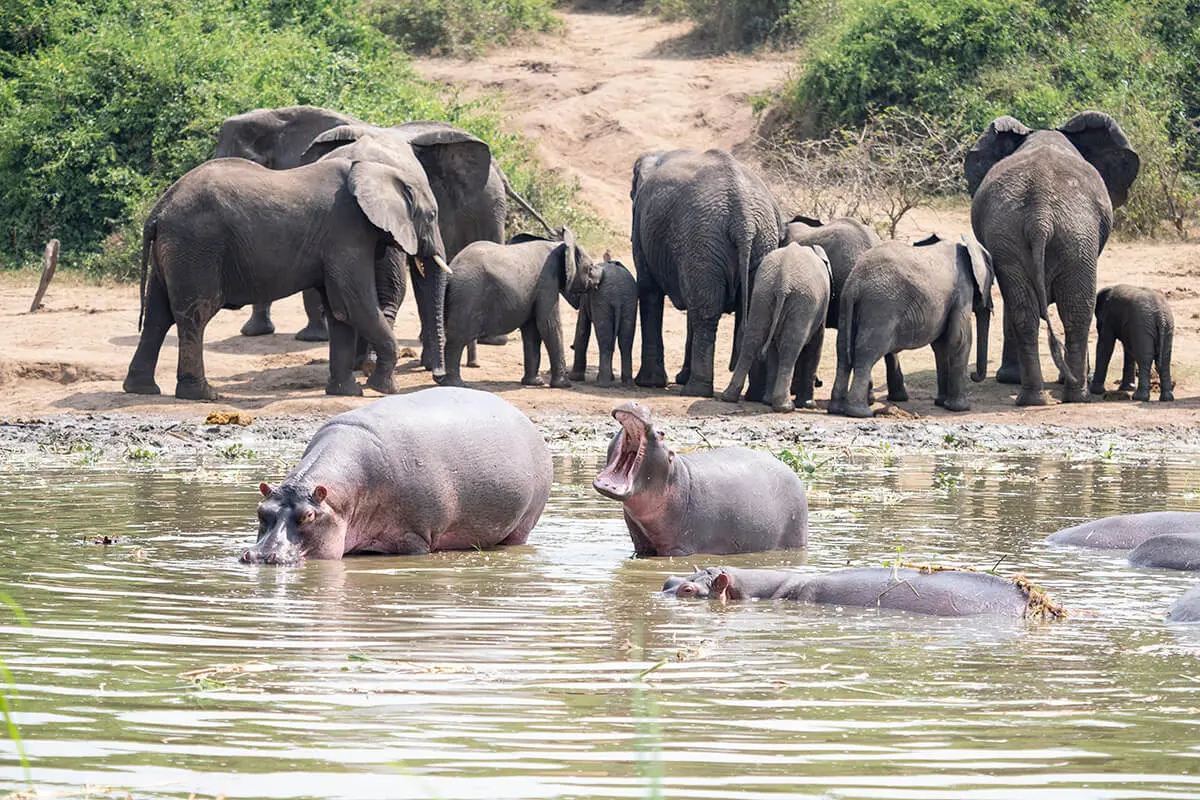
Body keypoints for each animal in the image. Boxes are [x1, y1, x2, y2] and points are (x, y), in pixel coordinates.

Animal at [242, 387, 552, 564]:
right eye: (260, 511)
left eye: (308, 516)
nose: (260, 556)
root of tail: (525, 419)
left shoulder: (415, 537)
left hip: (524, 524)